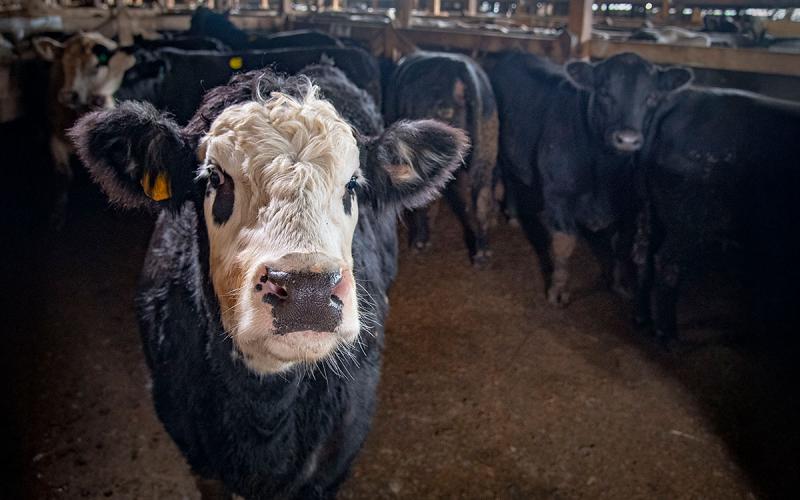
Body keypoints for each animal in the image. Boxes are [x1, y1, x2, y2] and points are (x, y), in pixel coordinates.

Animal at [32, 32, 135, 226]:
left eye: (97, 65)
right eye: (65, 61)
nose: (68, 95)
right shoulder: (55, 140)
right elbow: (63, 175)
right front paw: (57, 214)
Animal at [69, 65, 467, 499]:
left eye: (352, 184)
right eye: (215, 178)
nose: (309, 292)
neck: (265, 417)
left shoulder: (331, 465)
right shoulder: (200, 461)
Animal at [488, 52, 692, 305]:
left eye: (652, 97)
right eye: (604, 92)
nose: (627, 139)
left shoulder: (630, 205)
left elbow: (621, 246)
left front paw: (619, 285)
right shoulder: (558, 194)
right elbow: (564, 243)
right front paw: (558, 291)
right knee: (500, 178)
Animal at [635, 88, 800, 341]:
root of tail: (683, 97)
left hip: (650, 209)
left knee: (643, 255)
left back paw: (643, 320)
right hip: (690, 223)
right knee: (668, 264)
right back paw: (669, 337)